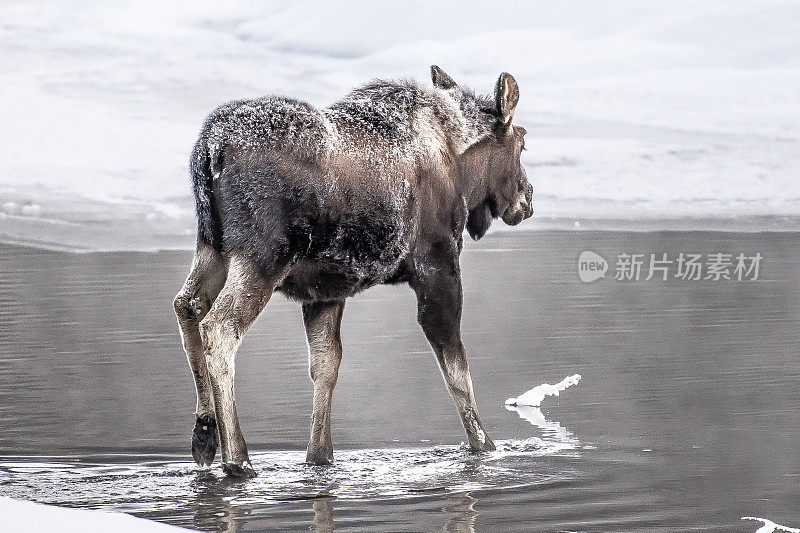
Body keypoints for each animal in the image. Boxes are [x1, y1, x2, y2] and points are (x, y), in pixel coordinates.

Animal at [177, 64, 536, 476]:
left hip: (213, 246)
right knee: (219, 327)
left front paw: (320, 455)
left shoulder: (325, 289)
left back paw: (204, 433)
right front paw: (485, 447)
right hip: (263, 255)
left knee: (187, 305)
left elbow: (325, 367)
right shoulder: (437, 263)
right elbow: (456, 369)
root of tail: (210, 148)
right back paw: (237, 458)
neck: (462, 172)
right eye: (522, 143)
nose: (527, 199)